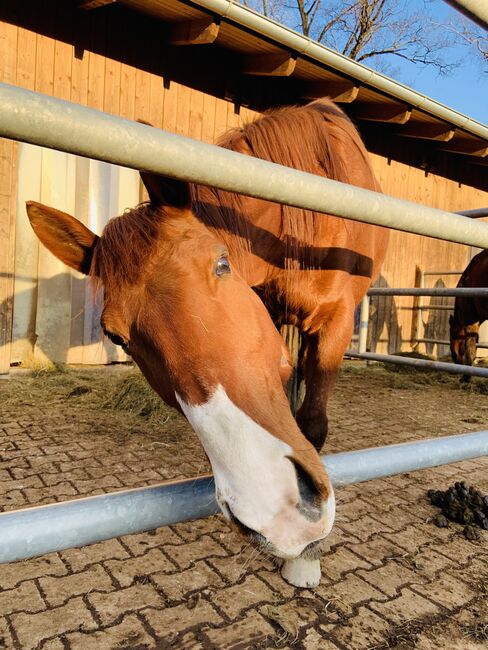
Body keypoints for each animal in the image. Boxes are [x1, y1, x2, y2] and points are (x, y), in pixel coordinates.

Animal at [25, 97, 388, 588]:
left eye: (221, 265)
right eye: (116, 336)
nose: (277, 509)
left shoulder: (335, 324)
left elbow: (312, 424)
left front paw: (306, 559)